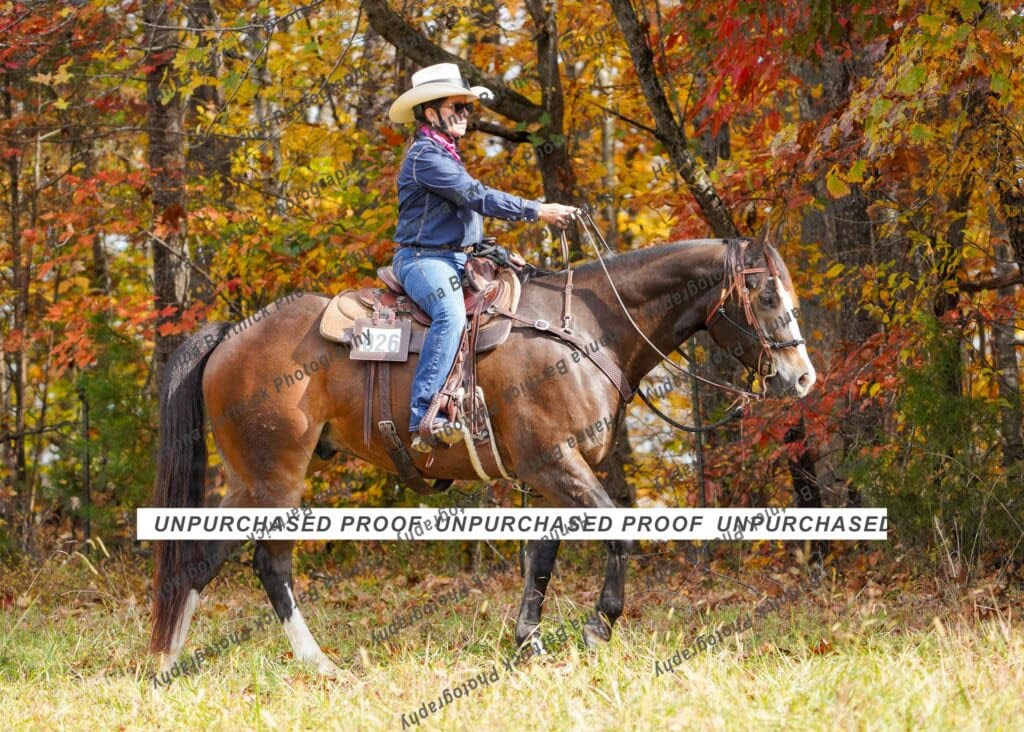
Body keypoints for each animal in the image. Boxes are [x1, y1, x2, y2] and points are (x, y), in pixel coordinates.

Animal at [149, 236, 816, 675]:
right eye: (764, 297)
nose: (803, 378)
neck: (585, 331)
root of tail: (232, 334)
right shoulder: (556, 464)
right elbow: (619, 532)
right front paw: (598, 627)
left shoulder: (550, 475)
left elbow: (541, 558)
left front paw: (529, 642)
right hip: (279, 478)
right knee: (271, 566)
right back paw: (319, 664)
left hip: (248, 481)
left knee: (198, 561)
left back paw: (167, 662)